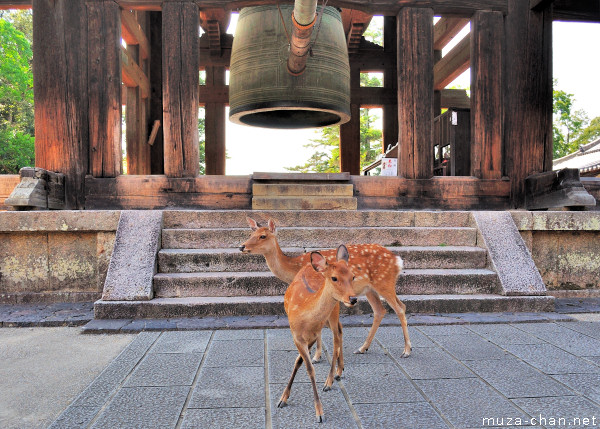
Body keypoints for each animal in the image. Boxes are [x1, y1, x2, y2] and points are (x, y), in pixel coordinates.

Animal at [239, 217, 412, 358]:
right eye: (250, 234)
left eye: (263, 236)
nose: (241, 246)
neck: (294, 268)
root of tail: (398, 260)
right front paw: (312, 352)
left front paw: (315, 355)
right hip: (370, 289)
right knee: (380, 310)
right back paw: (362, 348)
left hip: (385, 282)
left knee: (400, 307)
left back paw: (406, 350)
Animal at [276, 244, 356, 422]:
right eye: (334, 278)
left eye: (353, 276)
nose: (353, 298)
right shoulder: (297, 336)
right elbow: (302, 364)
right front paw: (283, 398)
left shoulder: (311, 335)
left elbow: (306, 366)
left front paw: (319, 412)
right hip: (331, 315)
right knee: (340, 330)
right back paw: (338, 370)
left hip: (334, 311)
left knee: (337, 336)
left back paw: (331, 380)